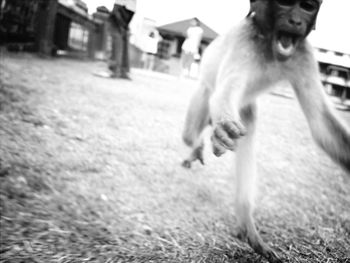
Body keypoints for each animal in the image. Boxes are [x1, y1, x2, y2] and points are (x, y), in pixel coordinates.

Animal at [182, 1, 350, 262]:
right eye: (285, 4)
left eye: (307, 7)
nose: (295, 21)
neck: (270, 45)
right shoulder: (245, 41)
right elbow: (224, 95)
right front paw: (219, 133)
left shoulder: (304, 55)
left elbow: (321, 124)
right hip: (203, 93)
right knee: (191, 132)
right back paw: (197, 145)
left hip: (245, 109)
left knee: (246, 133)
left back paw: (246, 221)